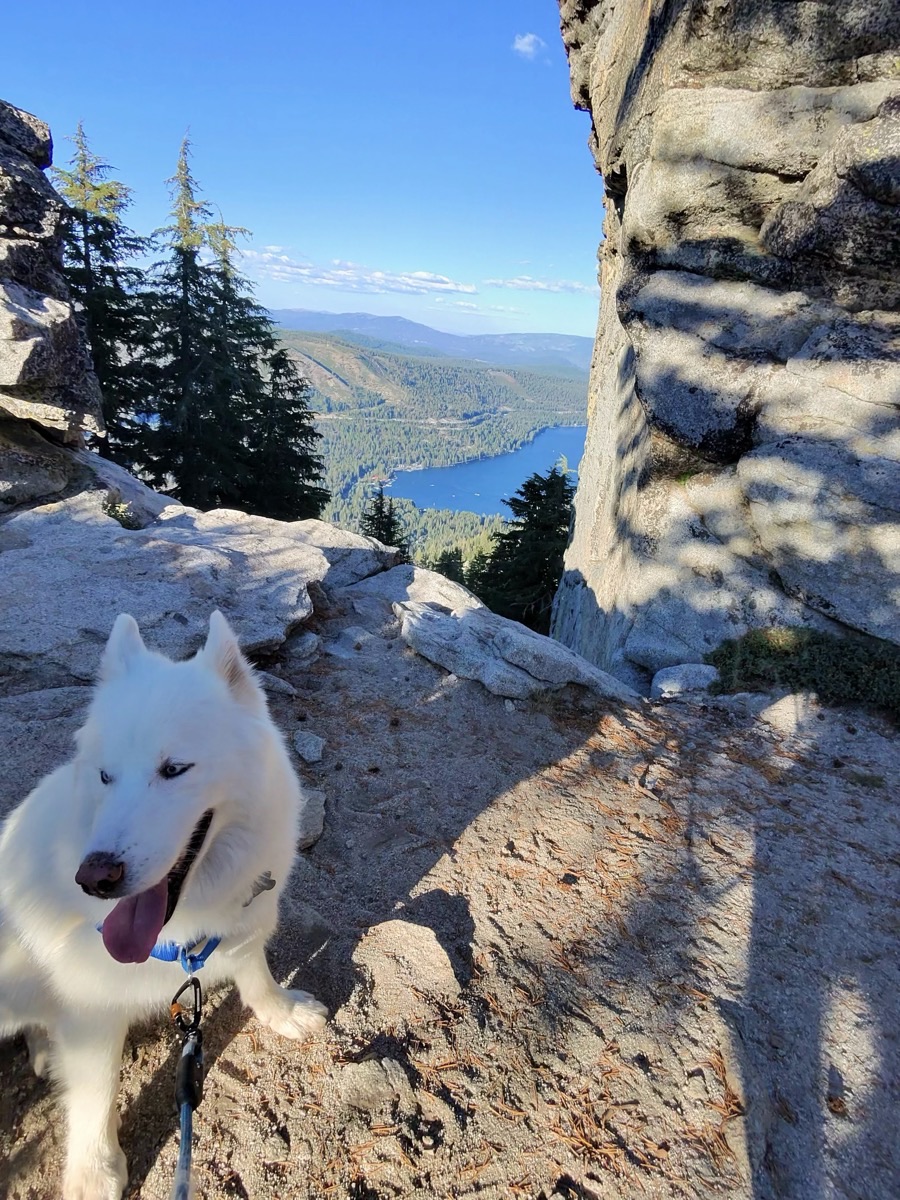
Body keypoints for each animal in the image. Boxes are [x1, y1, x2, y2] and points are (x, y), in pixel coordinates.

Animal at [0, 611, 328, 1200]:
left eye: (174, 769)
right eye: (105, 775)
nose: (94, 877)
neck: (181, 934)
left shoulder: (243, 927)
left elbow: (257, 978)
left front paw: (282, 1013)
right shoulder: (91, 1009)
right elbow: (96, 1092)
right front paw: (93, 1172)